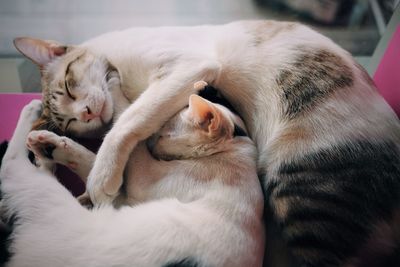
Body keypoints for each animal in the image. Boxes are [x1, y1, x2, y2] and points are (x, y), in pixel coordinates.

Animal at [0, 95, 266, 266]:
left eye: (164, 134)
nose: (152, 142)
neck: (236, 149)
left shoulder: (141, 180)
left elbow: (124, 139)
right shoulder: (120, 195)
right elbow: (97, 166)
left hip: (48, 200)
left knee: (11, 165)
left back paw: (32, 118)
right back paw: (45, 148)